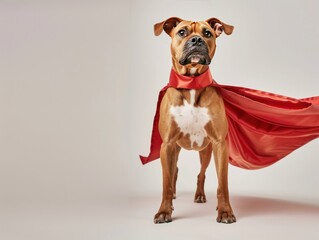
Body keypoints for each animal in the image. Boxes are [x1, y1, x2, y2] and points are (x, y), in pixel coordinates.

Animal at [154, 16, 236, 223]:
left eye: (207, 33)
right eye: (182, 32)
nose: (197, 40)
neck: (191, 83)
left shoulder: (219, 144)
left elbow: (222, 184)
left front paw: (225, 211)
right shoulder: (167, 144)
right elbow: (166, 183)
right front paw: (164, 211)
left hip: (206, 151)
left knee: (201, 174)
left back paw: (200, 195)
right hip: (173, 149)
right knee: (174, 172)